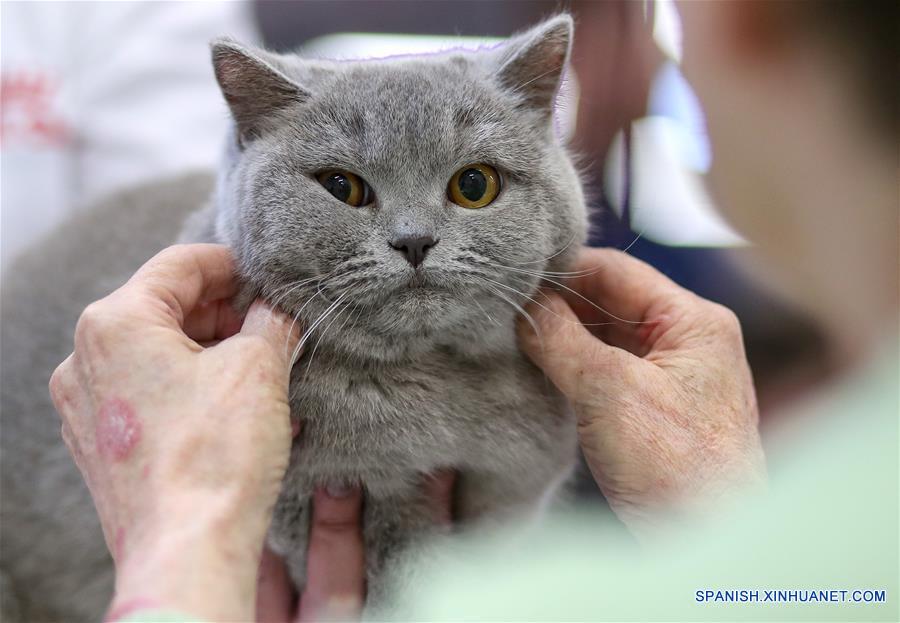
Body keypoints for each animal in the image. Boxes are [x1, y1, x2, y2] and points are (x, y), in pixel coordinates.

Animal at [0, 13, 588, 620]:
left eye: (474, 184)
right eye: (341, 186)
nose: (414, 241)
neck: (437, 383)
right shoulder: (316, 501)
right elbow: (411, 573)